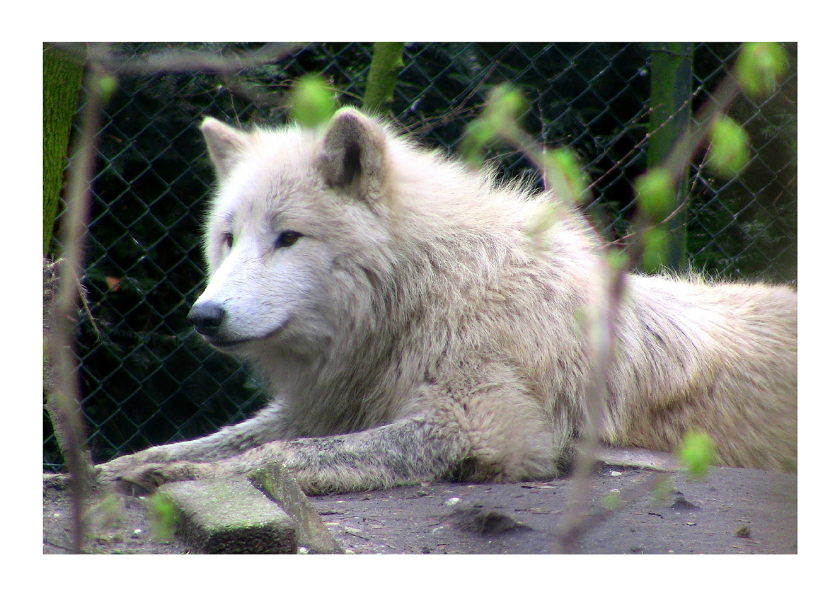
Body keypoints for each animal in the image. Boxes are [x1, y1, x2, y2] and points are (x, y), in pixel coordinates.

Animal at [98, 106, 796, 494]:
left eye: (287, 238)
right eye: (229, 239)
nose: (203, 316)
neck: (426, 289)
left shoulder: (479, 425)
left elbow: (278, 456)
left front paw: (184, 479)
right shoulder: (330, 403)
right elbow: (220, 440)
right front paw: (124, 466)